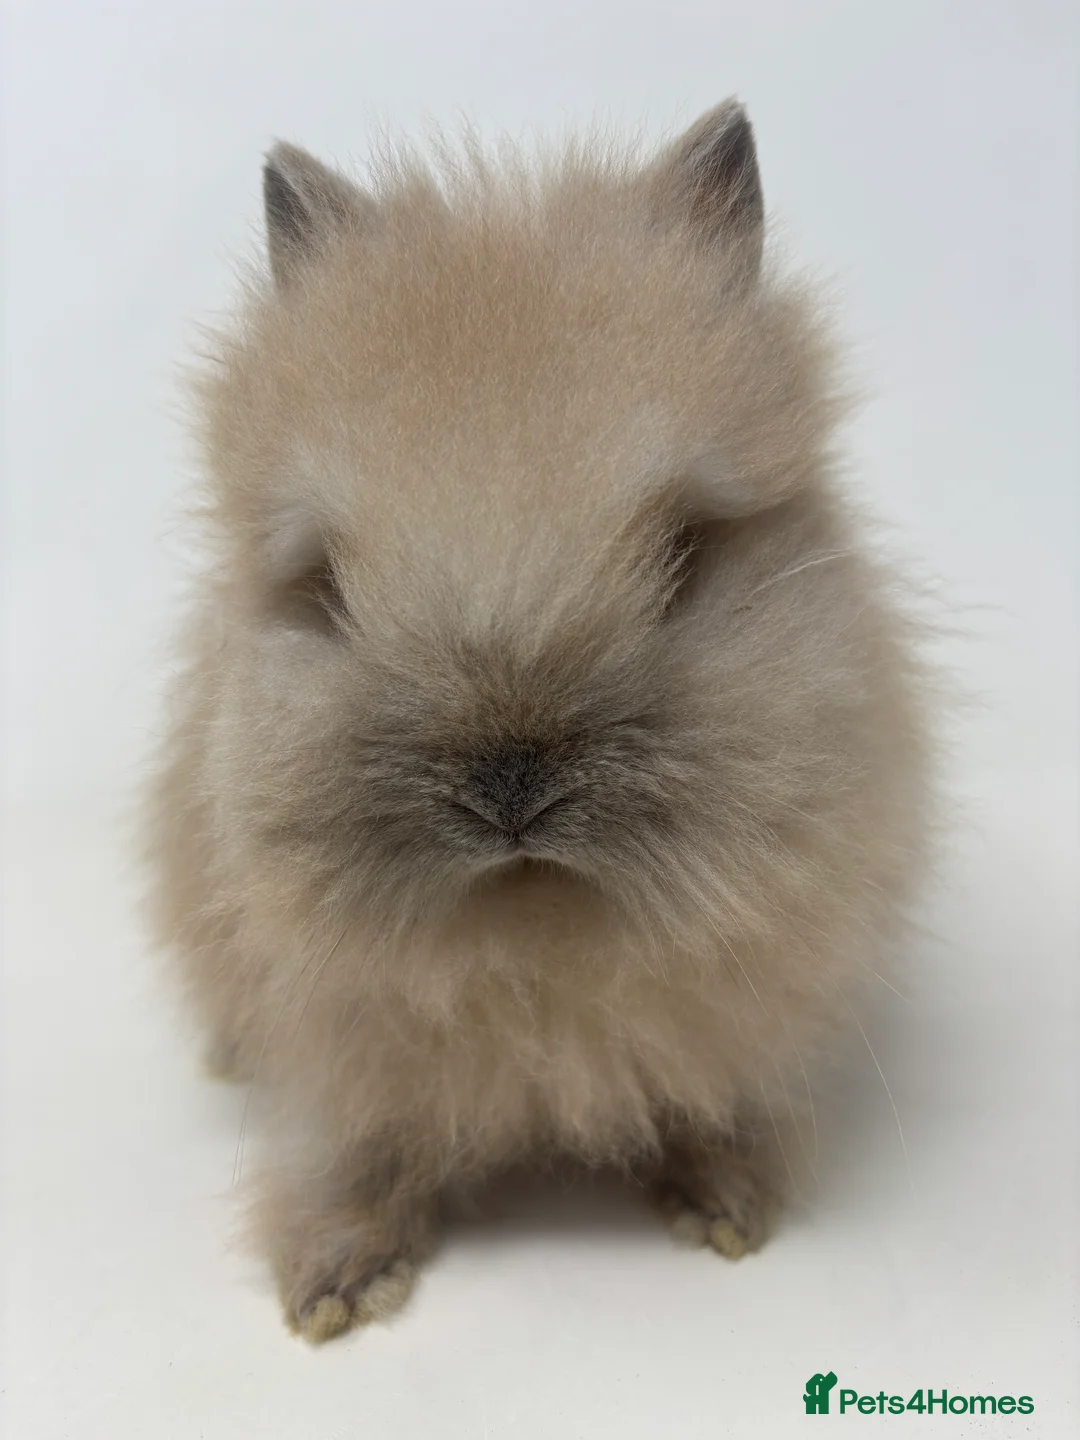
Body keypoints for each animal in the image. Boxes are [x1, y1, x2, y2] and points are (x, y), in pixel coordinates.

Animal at [144, 100, 935, 1344]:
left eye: (686, 556)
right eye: (327, 587)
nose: (509, 786)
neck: (536, 940)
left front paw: (727, 1209)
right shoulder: (336, 1060)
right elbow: (351, 1155)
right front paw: (334, 1289)